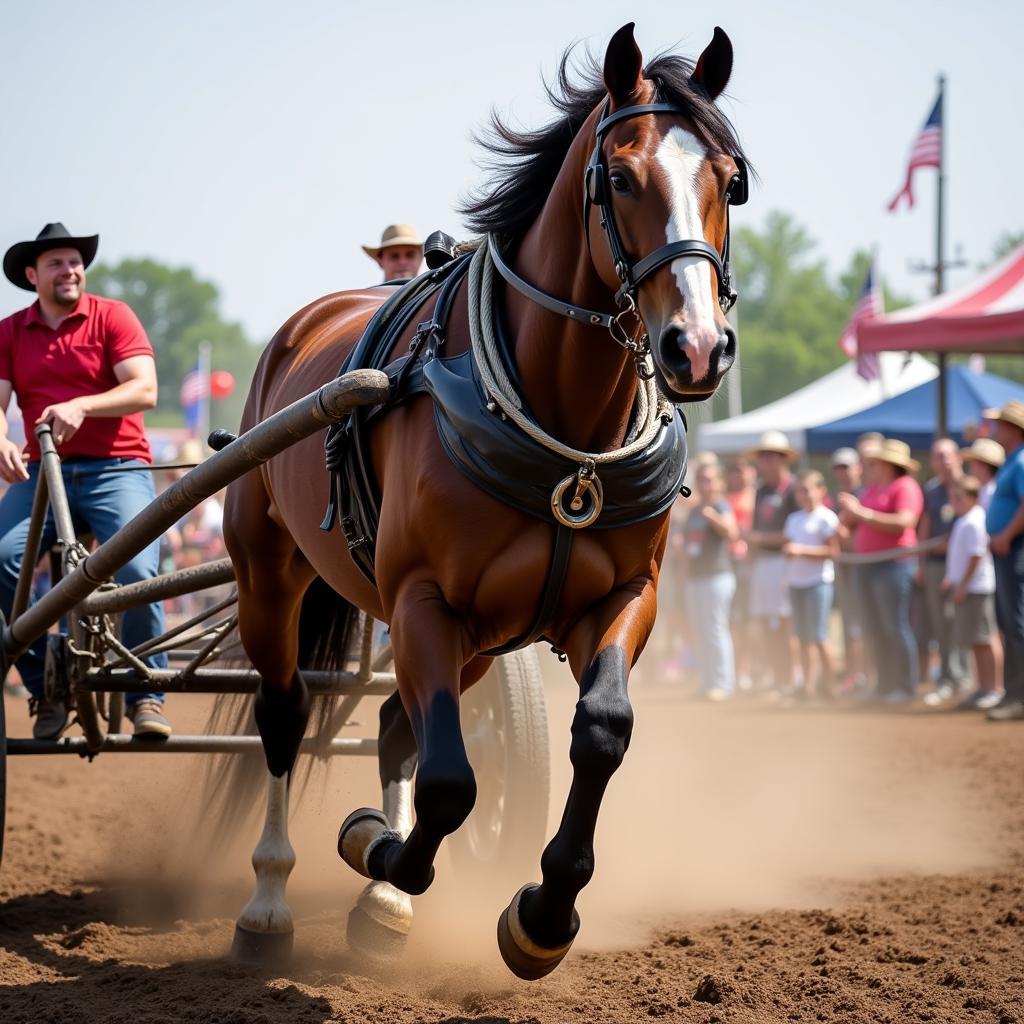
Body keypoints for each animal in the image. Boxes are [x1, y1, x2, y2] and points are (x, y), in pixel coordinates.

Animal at [224, 22, 749, 974]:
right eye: (621, 177)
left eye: (728, 180)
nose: (697, 347)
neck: (564, 436)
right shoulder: (423, 599)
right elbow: (448, 782)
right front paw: (374, 843)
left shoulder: (624, 598)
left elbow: (600, 730)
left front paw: (542, 914)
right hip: (269, 573)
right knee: (284, 713)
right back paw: (272, 900)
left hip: (473, 640)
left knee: (393, 720)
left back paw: (382, 904)